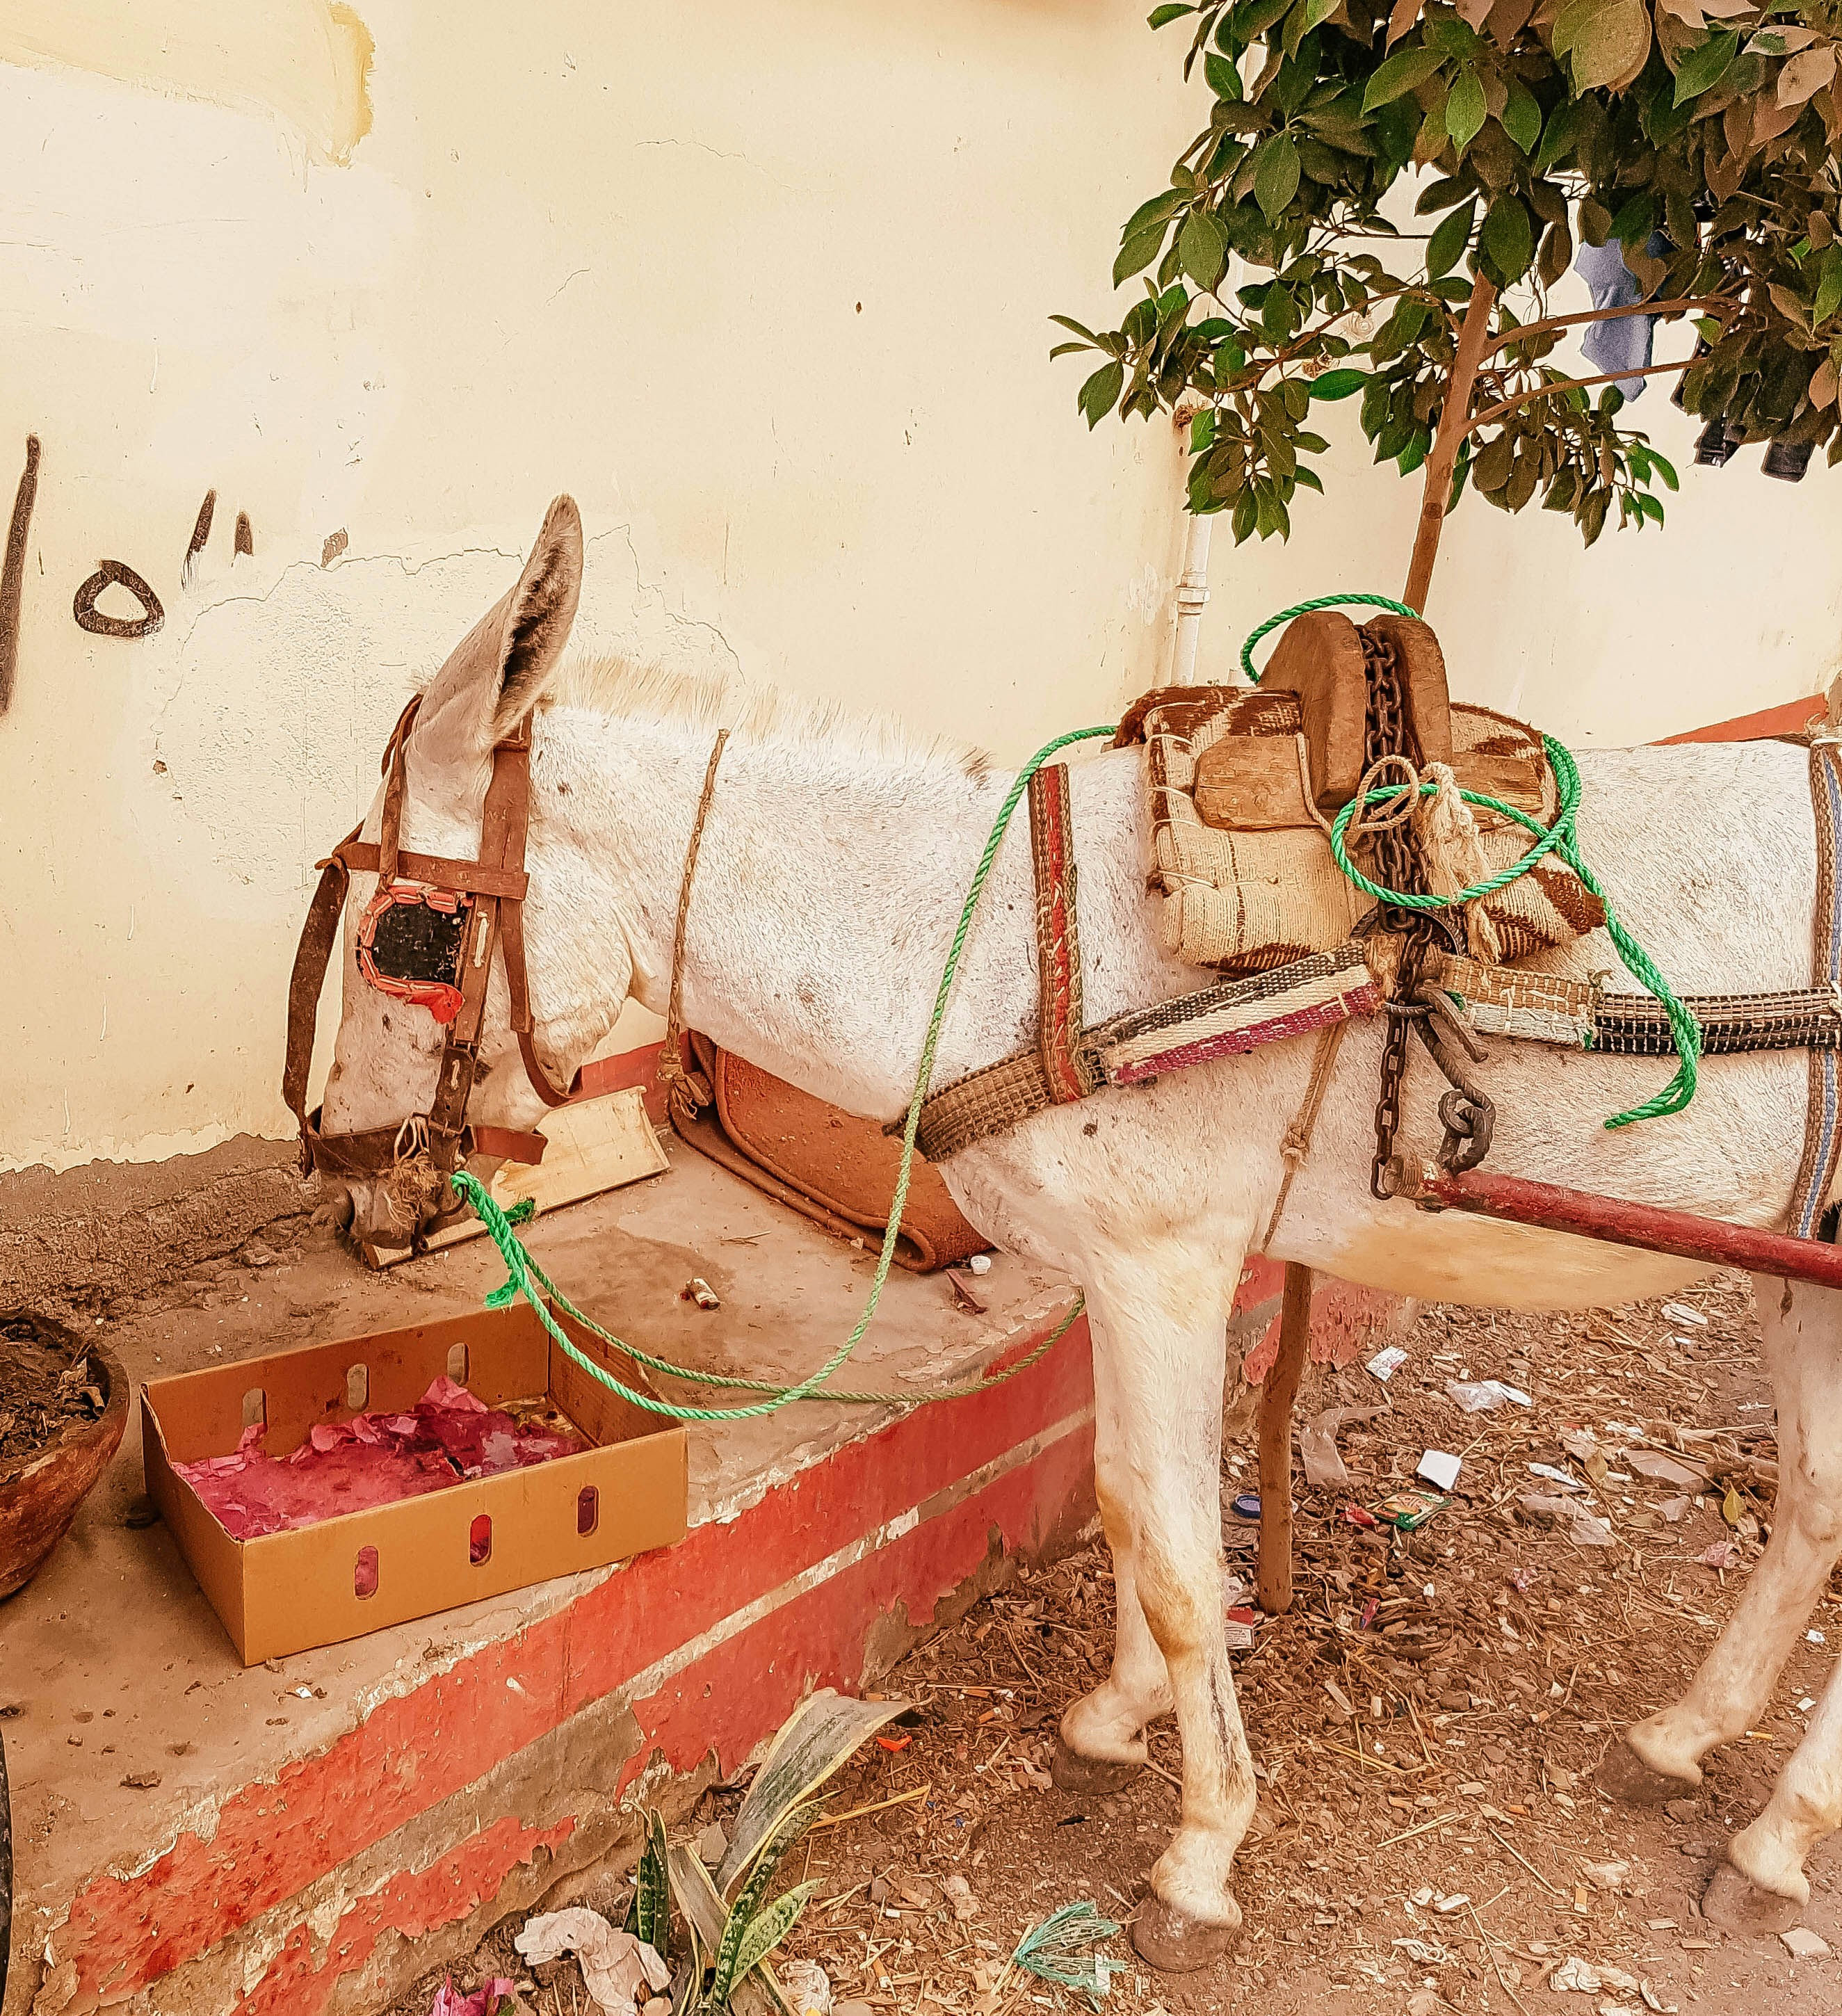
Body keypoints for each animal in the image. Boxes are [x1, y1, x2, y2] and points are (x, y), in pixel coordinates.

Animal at [314, 497, 1842, 1969]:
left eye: (401, 936)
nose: (350, 1181)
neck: (997, 941)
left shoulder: (1167, 1267)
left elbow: (1173, 1551)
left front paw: (1201, 1849)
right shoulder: (1120, 1276)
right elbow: (1117, 1502)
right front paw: (1118, 1716)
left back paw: (1774, 1832)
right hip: (1803, 1274)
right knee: (1812, 1510)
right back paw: (1689, 1747)